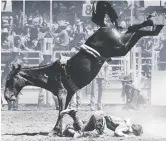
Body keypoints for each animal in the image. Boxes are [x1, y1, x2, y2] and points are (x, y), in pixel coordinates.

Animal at [3, 0, 163, 137]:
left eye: (10, 80)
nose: (6, 97)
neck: (50, 74)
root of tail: (103, 26)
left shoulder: (61, 93)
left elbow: (61, 111)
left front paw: (55, 130)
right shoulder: (68, 94)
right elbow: (67, 111)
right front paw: (69, 126)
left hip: (120, 47)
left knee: (136, 33)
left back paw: (154, 24)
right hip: (120, 45)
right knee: (132, 29)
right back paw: (153, 23)